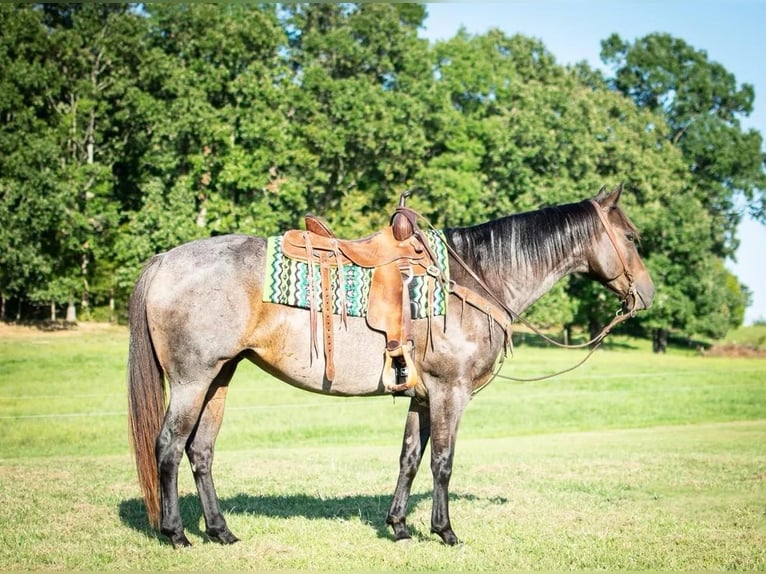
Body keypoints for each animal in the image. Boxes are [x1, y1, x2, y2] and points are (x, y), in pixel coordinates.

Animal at [126, 184, 656, 548]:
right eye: (632, 237)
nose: (648, 295)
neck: (473, 279)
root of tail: (165, 259)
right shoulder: (449, 392)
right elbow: (442, 461)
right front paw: (444, 531)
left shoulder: (421, 397)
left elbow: (409, 459)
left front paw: (399, 526)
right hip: (193, 380)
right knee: (169, 447)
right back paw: (176, 534)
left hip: (220, 377)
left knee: (201, 452)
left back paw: (221, 531)